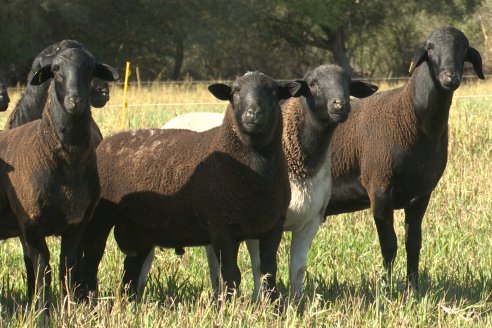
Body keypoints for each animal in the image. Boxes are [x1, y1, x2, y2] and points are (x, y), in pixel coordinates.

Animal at [79, 71, 310, 300]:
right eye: (235, 93)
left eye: (273, 92)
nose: (253, 114)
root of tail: (108, 142)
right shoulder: (221, 227)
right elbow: (231, 274)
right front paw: (229, 303)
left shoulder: (273, 226)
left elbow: (268, 272)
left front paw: (272, 304)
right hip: (100, 218)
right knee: (92, 258)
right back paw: (91, 297)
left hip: (139, 227)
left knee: (131, 268)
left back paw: (129, 301)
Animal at [163, 65, 378, 298]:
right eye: (313, 84)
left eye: (348, 83)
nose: (341, 105)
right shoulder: (258, 223)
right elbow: (259, 265)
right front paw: (261, 298)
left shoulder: (310, 221)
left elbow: (298, 267)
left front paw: (298, 299)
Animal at [322, 26, 484, 290]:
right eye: (430, 48)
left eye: (463, 48)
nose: (451, 77)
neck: (411, 116)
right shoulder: (379, 189)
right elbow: (389, 245)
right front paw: (386, 288)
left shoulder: (421, 194)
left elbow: (413, 243)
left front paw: (414, 286)